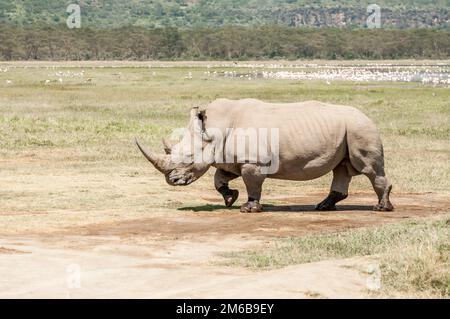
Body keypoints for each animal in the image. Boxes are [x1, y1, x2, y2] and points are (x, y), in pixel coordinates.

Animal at [137, 97, 394, 212]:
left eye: (189, 158)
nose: (172, 181)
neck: (214, 128)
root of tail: (367, 116)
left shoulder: (253, 161)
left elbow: (253, 183)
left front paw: (248, 208)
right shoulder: (230, 158)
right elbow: (218, 179)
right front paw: (230, 198)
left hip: (360, 128)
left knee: (368, 169)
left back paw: (382, 208)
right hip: (348, 130)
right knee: (341, 168)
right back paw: (323, 207)